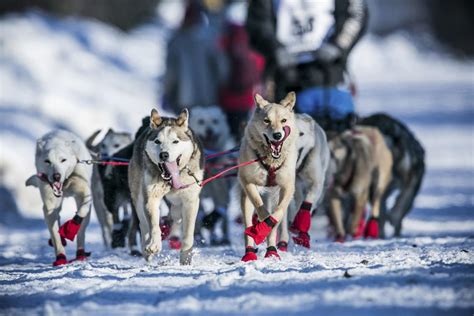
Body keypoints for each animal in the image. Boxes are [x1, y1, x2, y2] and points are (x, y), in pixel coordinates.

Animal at [24, 130, 93, 266]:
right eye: (47, 161)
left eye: (63, 160)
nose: (56, 176)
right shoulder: (50, 205)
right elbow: (55, 234)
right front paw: (60, 257)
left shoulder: (84, 193)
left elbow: (82, 210)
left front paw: (70, 227)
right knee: (58, 216)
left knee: (81, 231)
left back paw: (80, 254)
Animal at [187, 105, 235, 244]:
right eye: (201, 121)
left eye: (215, 121)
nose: (209, 130)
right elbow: (199, 214)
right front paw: (198, 235)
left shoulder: (220, 192)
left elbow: (218, 211)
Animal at [239, 92, 298, 262]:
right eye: (267, 120)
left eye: (283, 120)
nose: (277, 135)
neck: (271, 161)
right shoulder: (248, 182)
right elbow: (261, 210)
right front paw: (260, 228)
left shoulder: (287, 187)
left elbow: (277, 213)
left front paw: (266, 228)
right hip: (245, 199)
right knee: (248, 224)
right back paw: (250, 252)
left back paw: (272, 251)